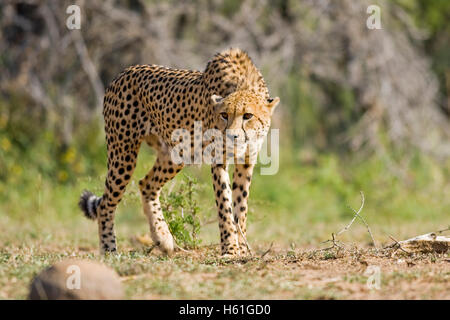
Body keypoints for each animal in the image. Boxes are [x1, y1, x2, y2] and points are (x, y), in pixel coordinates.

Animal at [79, 47, 280, 256]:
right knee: (106, 203)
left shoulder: (247, 162)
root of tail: (124, 71)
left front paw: (242, 247)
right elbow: (225, 205)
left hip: (175, 154)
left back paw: (163, 237)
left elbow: (241, 206)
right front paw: (230, 249)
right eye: (224, 115)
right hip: (123, 153)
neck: (242, 85)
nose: (231, 136)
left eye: (248, 115)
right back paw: (109, 248)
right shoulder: (218, 159)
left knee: (146, 184)